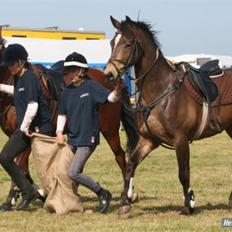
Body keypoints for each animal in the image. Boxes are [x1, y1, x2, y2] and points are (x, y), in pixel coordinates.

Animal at [0, 34, 139, 210]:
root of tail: (109, 80)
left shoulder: (28, 135)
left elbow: (19, 165)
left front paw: (15, 198)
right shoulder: (15, 136)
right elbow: (21, 167)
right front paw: (39, 194)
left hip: (110, 129)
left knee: (120, 156)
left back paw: (129, 195)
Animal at [104, 15, 232, 216]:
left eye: (128, 44)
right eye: (112, 43)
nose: (108, 73)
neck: (161, 91)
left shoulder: (181, 140)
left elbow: (183, 173)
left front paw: (189, 205)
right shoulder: (149, 140)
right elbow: (130, 165)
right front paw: (126, 202)